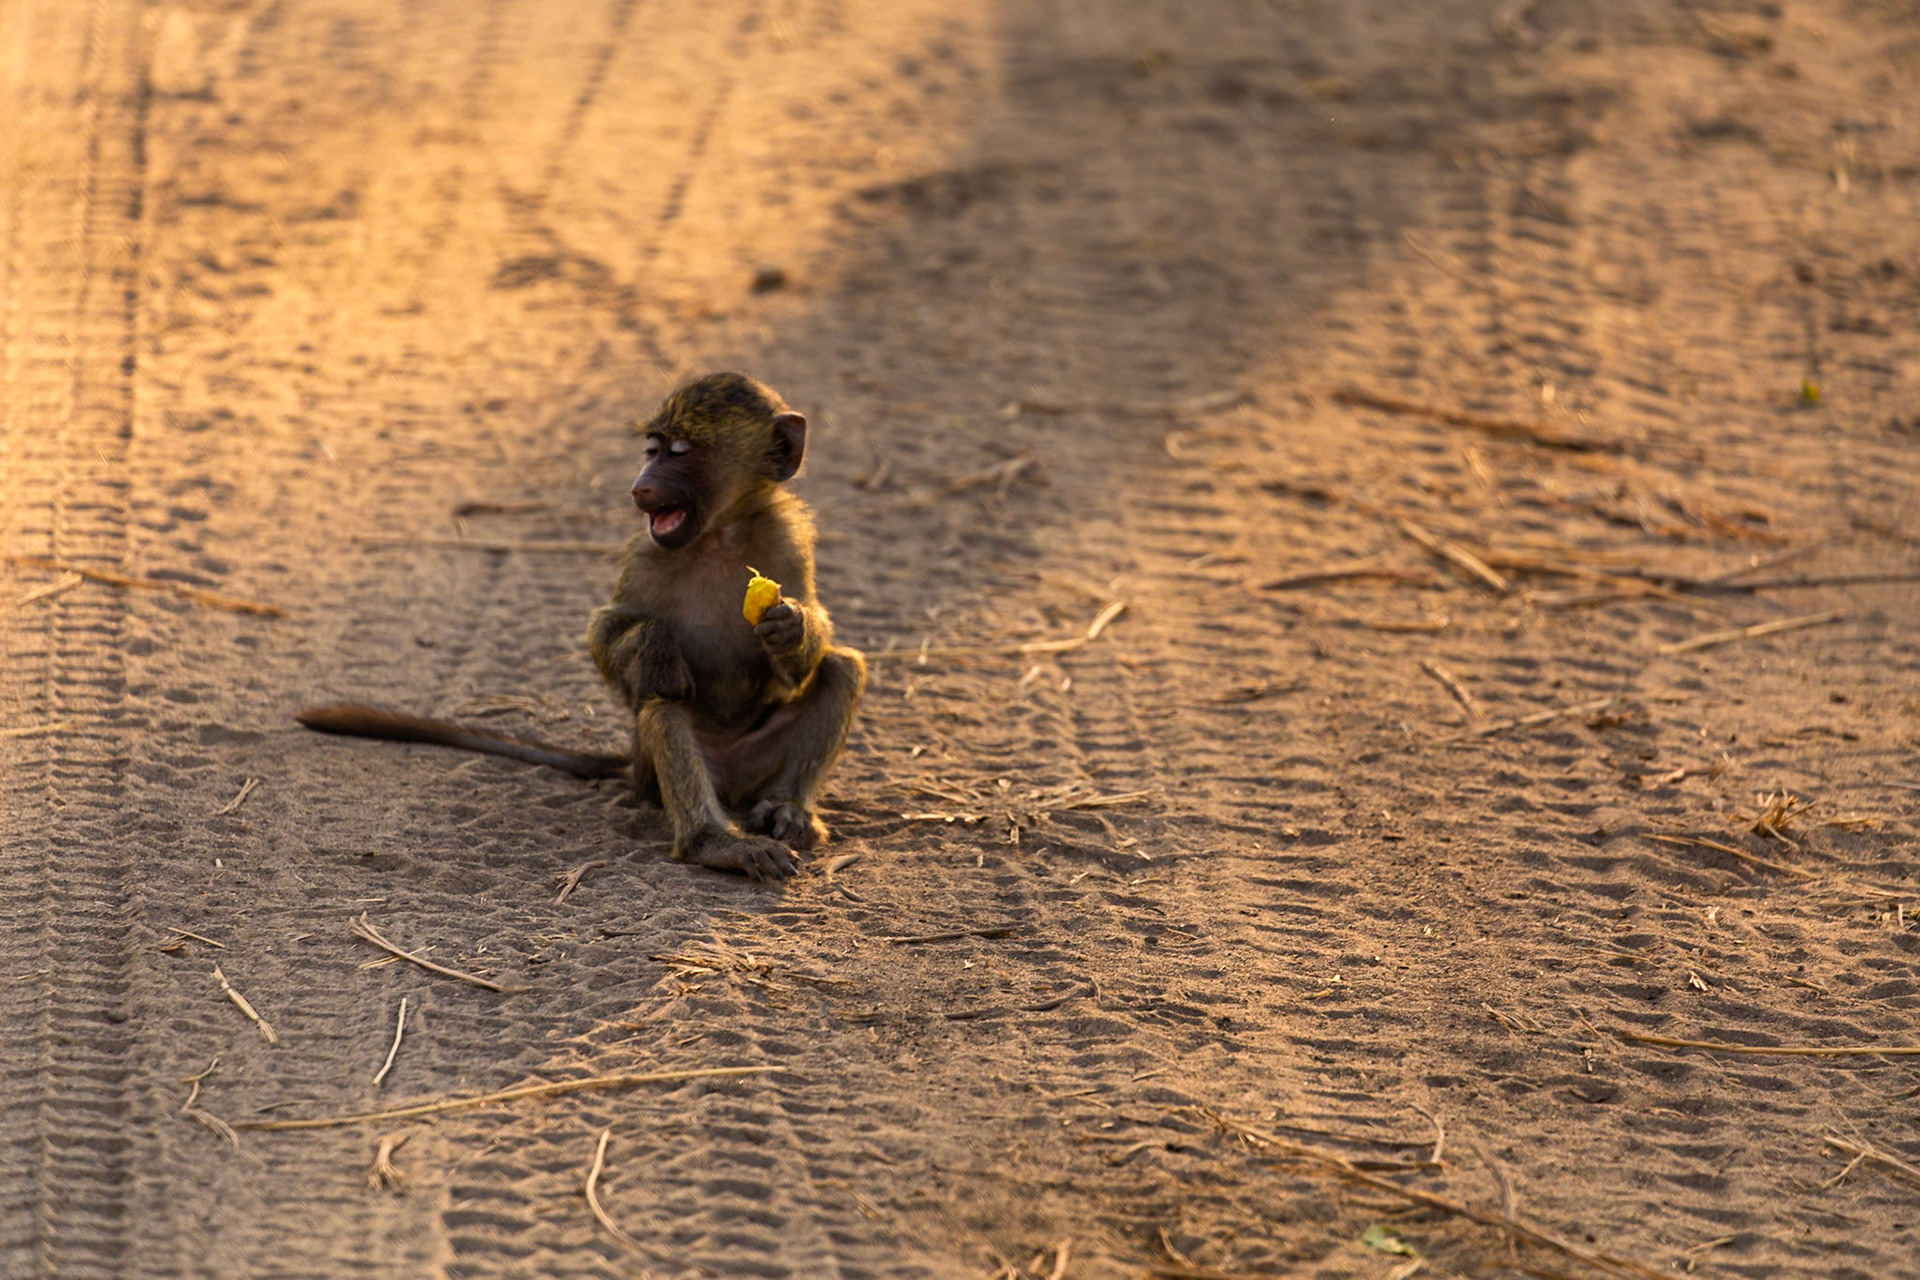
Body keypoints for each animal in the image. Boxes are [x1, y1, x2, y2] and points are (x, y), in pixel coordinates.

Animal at [299, 372, 866, 881]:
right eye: (652, 449)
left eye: (680, 451)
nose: (640, 487)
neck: (719, 531)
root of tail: (731, 789)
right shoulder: (645, 553)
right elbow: (606, 630)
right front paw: (656, 643)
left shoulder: (787, 537)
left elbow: (809, 649)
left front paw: (789, 625)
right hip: (656, 773)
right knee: (663, 705)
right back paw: (715, 841)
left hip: (755, 766)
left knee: (842, 668)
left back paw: (789, 809)